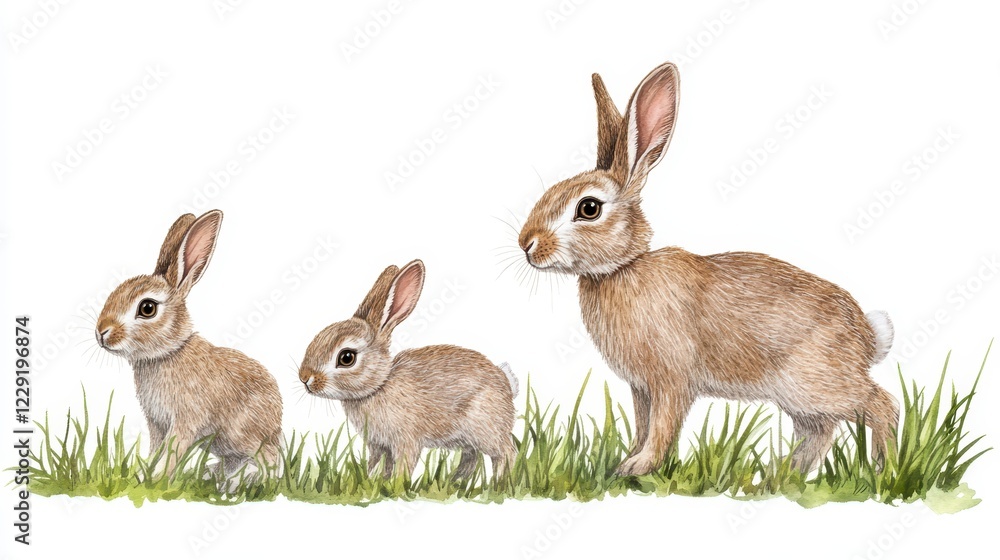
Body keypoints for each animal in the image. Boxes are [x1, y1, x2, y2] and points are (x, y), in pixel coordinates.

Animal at [95, 210, 282, 479]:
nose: (101, 333)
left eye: (147, 308)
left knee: (271, 462)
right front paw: (142, 473)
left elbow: (171, 453)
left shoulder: (185, 419)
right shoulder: (156, 422)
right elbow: (155, 449)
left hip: (244, 433)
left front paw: (156, 479)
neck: (168, 353)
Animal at [298, 259, 518, 480]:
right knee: (471, 458)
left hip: (484, 427)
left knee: (507, 452)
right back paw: (455, 481)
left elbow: (403, 466)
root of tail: (506, 382)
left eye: (346, 358)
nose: (305, 378)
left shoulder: (406, 440)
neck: (378, 386)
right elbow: (376, 464)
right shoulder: (378, 445)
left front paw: (396, 483)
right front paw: (373, 479)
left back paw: (497, 483)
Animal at [516, 62, 899, 476]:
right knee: (819, 432)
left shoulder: (671, 380)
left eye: (588, 208)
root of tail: (867, 335)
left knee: (883, 405)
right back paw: (777, 474)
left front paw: (639, 466)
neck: (622, 269)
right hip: (800, 397)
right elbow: (642, 423)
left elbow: (662, 426)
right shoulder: (641, 387)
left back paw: (884, 469)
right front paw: (627, 460)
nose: (527, 244)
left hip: (818, 382)